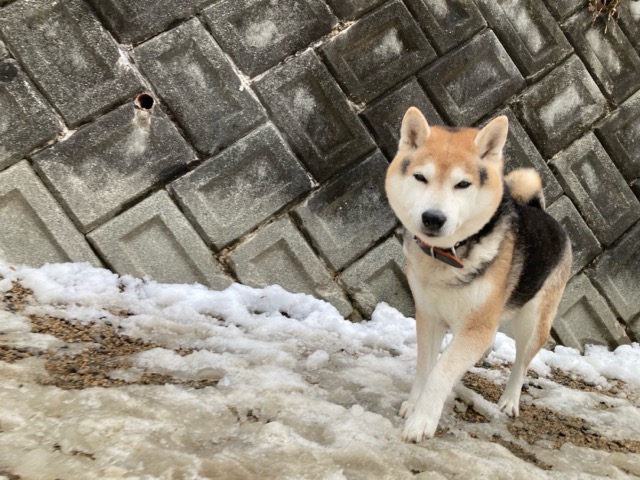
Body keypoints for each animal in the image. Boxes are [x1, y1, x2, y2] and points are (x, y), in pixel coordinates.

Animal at [385, 107, 572, 442]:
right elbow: (425, 367)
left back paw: (509, 401)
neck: (449, 255)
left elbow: (441, 371)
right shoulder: (428, 317)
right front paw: (414, 404)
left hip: (533, 322)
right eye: (421, 177)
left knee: (521, 364)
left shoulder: (476, 327)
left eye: (462, 184)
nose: (433, 218)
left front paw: (422, 421)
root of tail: (540, 211)